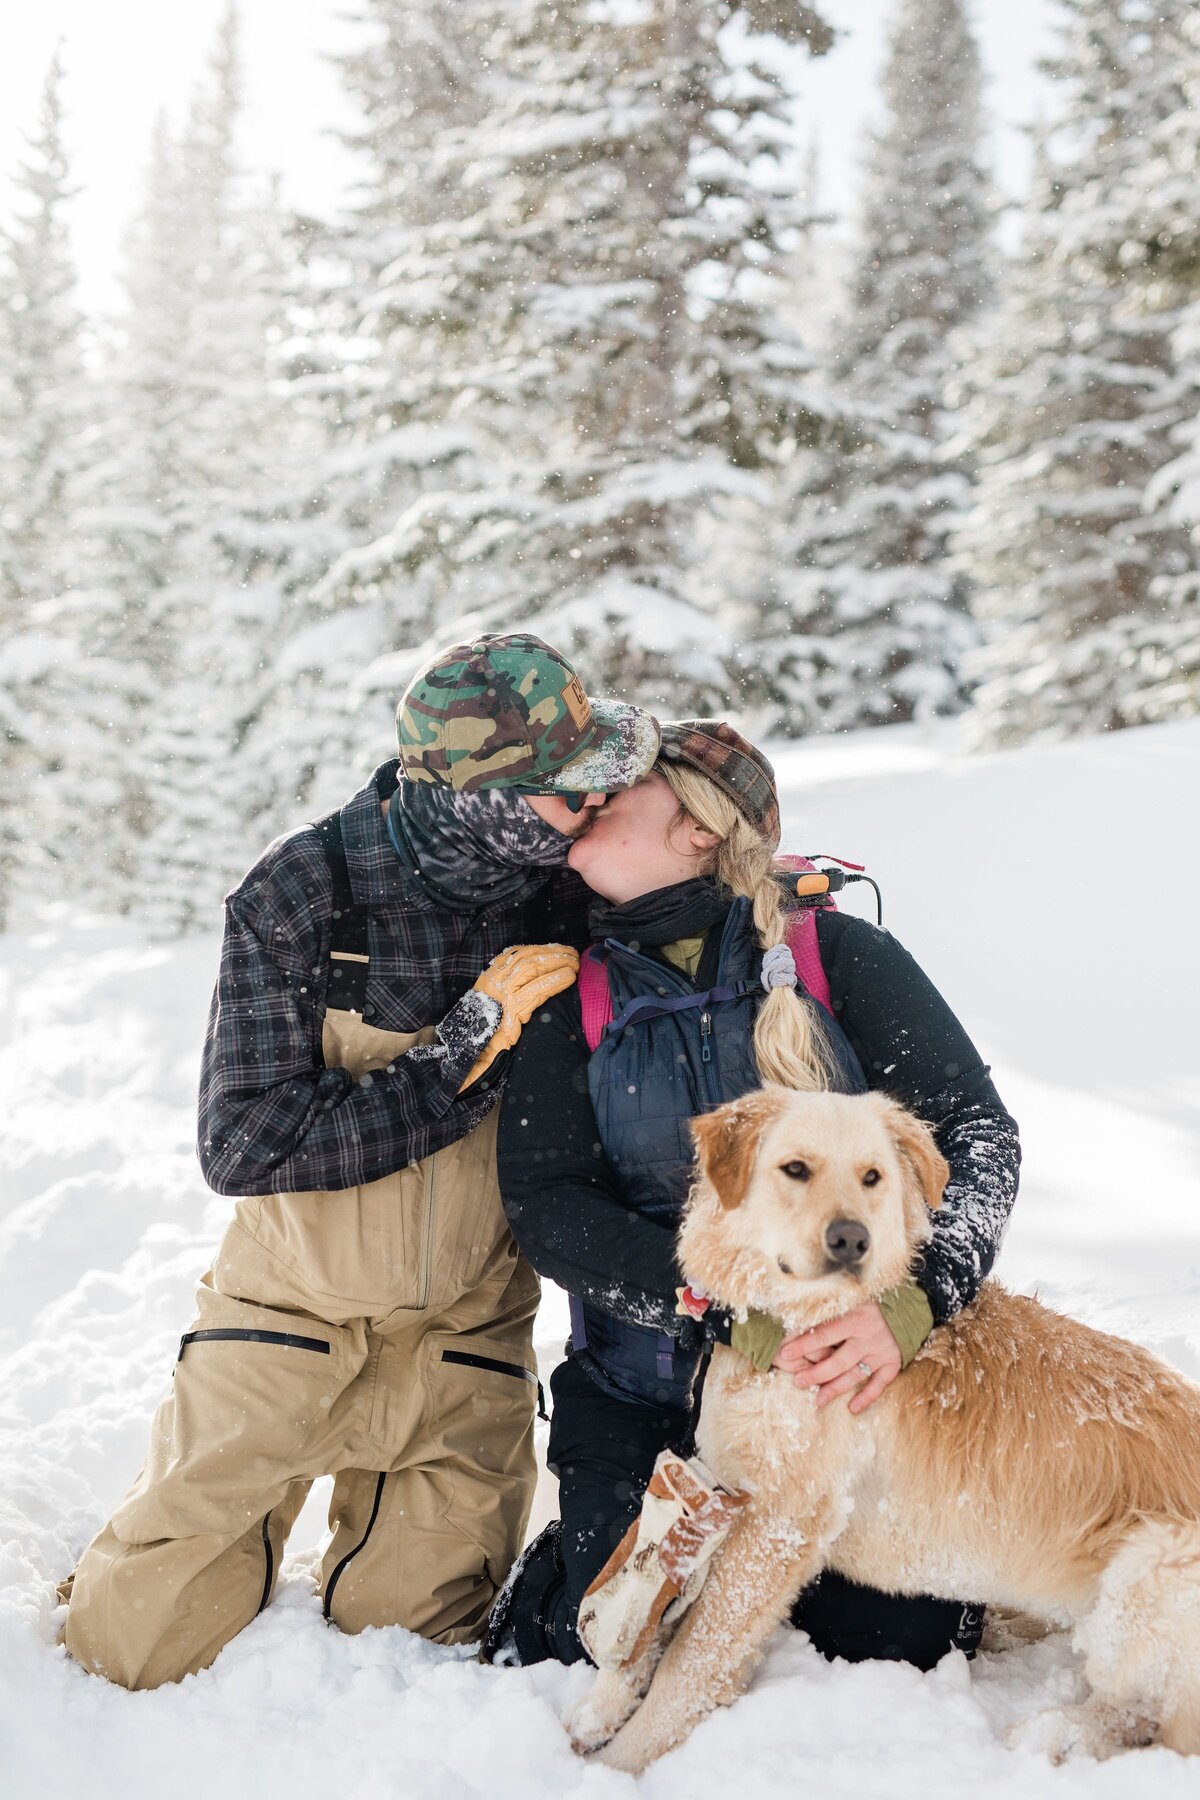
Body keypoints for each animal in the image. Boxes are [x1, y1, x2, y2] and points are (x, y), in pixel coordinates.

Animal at [572, 1080, 1200, 1771]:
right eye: (796, 1169)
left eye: (871, 1177)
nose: (851, 1240)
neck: (793, 1327)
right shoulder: (721, 1485)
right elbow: (663, 1604)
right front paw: (607, 1696)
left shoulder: (783, 1521)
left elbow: (694, 1657)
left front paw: (616, 1765)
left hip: (1150, 1566)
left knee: (1151, 1723)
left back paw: (1057, 1734)